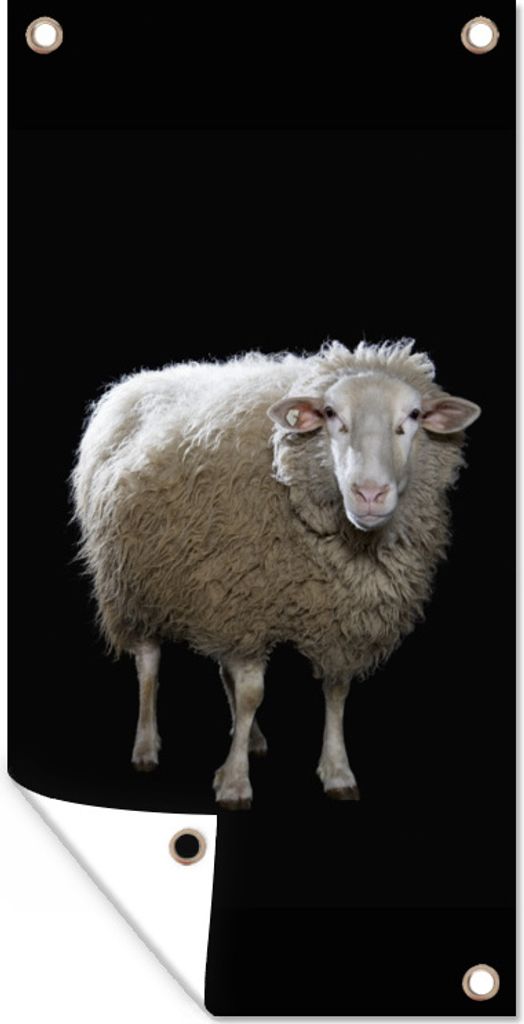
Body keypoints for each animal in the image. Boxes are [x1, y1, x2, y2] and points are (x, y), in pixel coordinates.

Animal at [71, 338, 481, 809]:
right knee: (149, 665)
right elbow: (252, 693)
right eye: (331, 414)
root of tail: (133, 382)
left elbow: (336, 691)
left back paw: (251, 739)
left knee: (221, 671)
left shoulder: (328, 616)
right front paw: (234, 782)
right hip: (131, 582)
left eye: (413, 416)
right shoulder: (247, 600)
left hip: (212, 589)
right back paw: (146, 746)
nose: (370, 494)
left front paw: (337, 771)